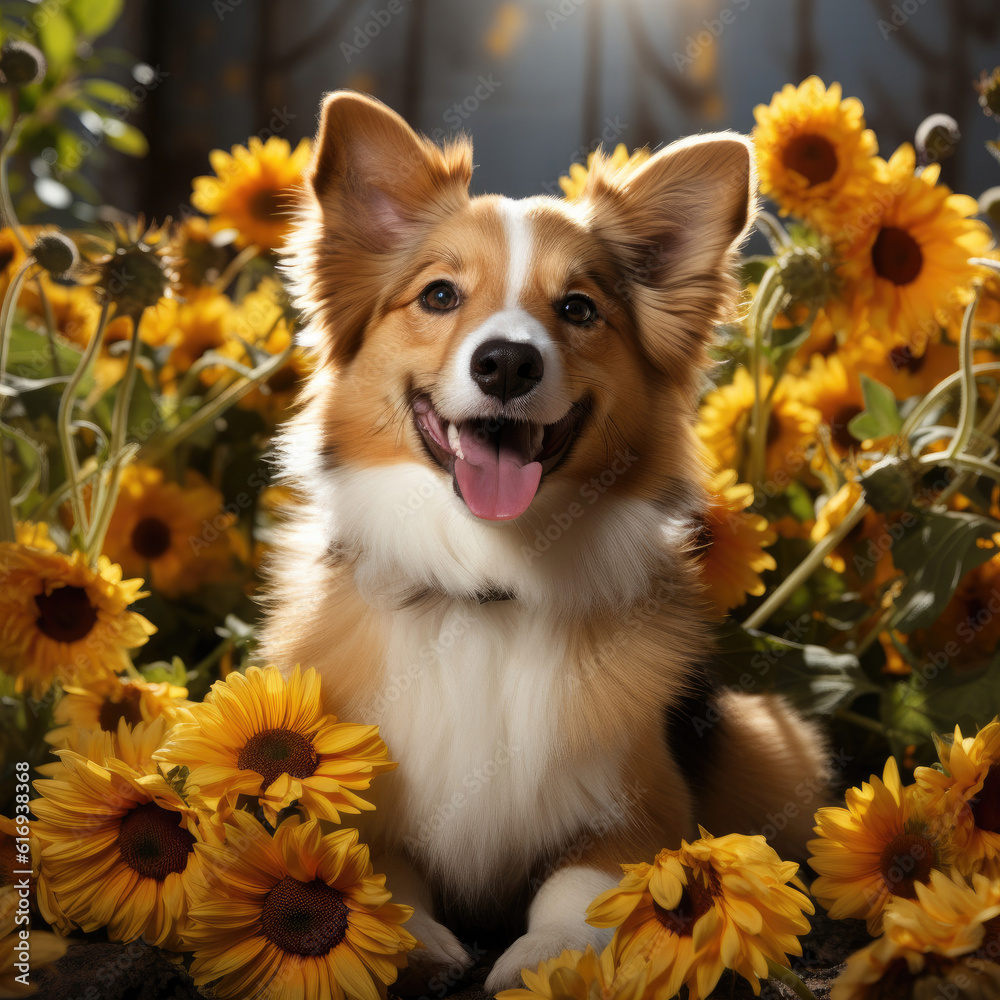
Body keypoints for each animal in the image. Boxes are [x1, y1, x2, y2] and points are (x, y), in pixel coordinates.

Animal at [260, 92, 828, 992]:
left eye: (579, 309)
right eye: (439, 295)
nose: (505, 364)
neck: (492, 585)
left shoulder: (643, 805)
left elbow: (585, 879)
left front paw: (550, 951)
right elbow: (377, 865)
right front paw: (405, 936)